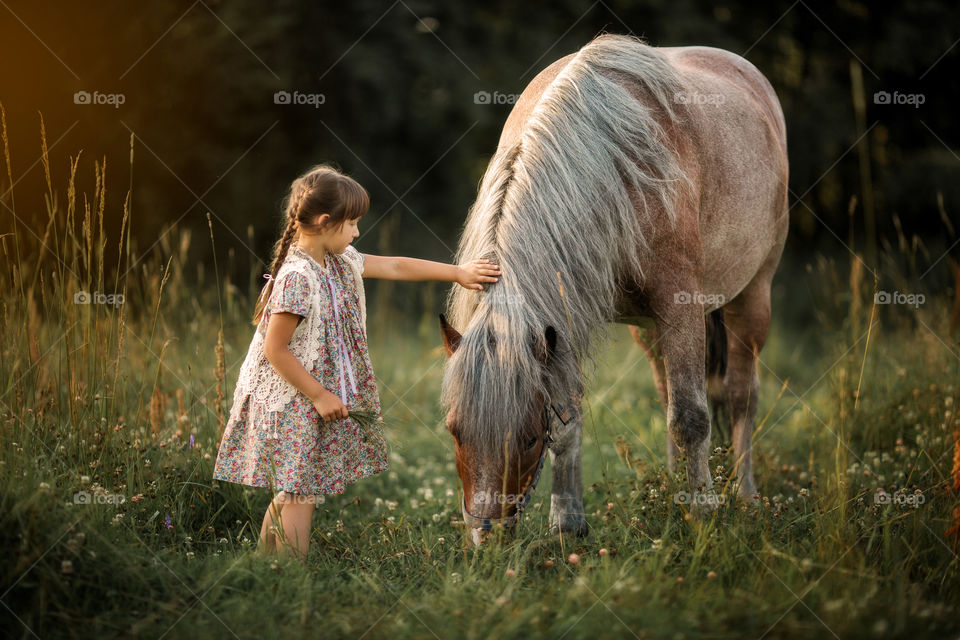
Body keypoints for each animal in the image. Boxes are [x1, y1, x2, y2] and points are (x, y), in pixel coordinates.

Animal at [438, 33, 788, 546]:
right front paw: (568, 525)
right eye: (455, 431)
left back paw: (742, 495)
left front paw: (703, 515)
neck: (608, 166)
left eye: (527, 438)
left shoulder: (679, 306)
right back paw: (670, 489)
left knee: (741, 395)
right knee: (667, 392)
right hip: (649, 328)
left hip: (752, 297)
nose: (488, 540)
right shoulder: (563, 322)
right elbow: (570, 419)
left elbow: (692, 418)